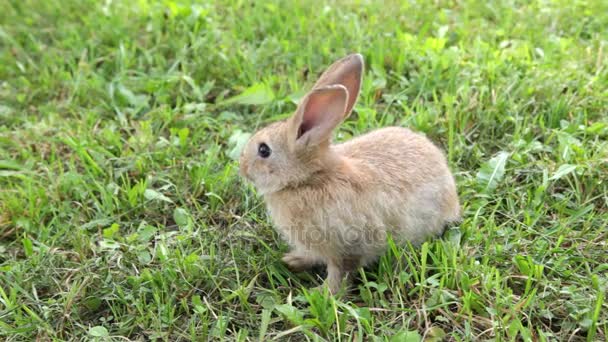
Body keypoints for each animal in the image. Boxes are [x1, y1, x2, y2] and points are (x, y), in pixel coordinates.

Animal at [240, 53, 458, 294]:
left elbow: (341, 272)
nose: (242, 167)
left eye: (263, 150)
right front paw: (294, 260)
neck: (309, 179)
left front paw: (322, 294)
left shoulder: (347, 245)